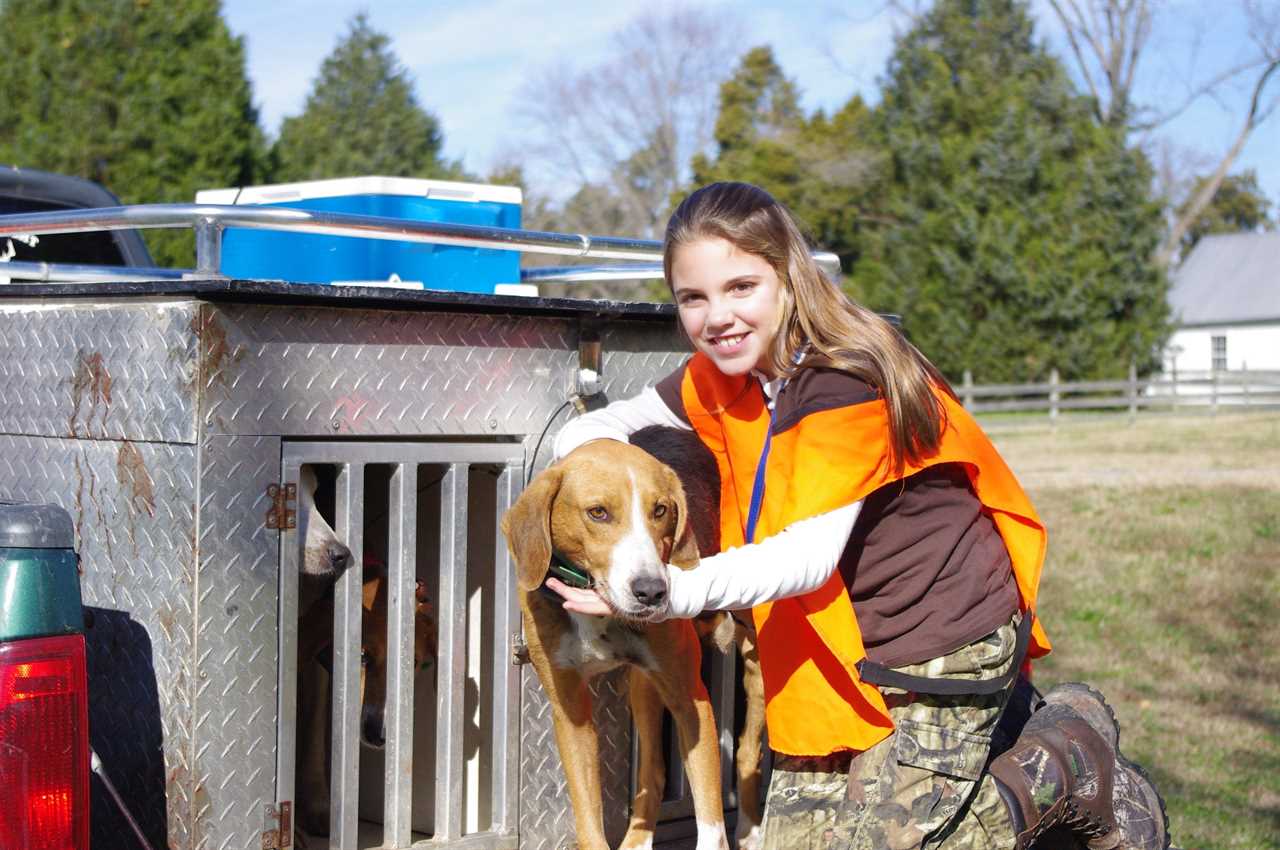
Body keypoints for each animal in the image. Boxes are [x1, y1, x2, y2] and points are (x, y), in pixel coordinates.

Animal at [499, 427, 757, 850]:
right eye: (598, 512)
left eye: (661, 510)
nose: (652, 591)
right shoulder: (571, 711)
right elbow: (590, 822)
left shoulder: (690, 699)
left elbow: (709, 817)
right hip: (644, 686)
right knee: (653, 771)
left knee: (750, 741)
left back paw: (751, 826)